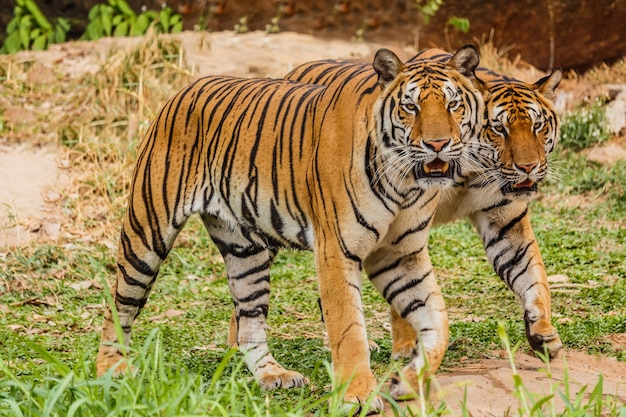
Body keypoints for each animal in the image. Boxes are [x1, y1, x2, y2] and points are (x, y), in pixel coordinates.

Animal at [95, 44, 482, 410]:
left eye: (453, 105)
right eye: (410, 107)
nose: (437, 145)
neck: (405, 182)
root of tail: (185, 88)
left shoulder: (400, 253)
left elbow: (438, 322)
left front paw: (407, 380)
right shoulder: (337, 249)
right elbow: (348, 328)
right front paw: (357, 395)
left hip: (247, 251)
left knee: (249, 322)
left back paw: (273, 375)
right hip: (147, 233)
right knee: (119, 303)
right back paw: (111, 370)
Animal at [282, 48, 560, 396]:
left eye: (538, 126)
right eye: (498, 129)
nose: (528, 167)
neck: (473, 170)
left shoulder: (505, 221)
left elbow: (533, 274)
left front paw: (543, 332)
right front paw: (405, 347)